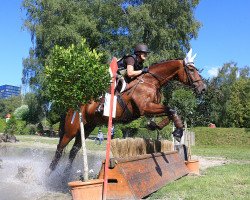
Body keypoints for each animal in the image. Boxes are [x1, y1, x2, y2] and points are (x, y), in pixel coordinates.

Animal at [46, 49, 206, 174]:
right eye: (191, 70)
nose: (203, 88)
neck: (151, 81)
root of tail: (73, 102)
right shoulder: (145, 107)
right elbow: (171, 109)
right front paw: (178, 132)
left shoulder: (149, 109)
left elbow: (171, 111)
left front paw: (157, 126)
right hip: (71, 129)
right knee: (60, 149)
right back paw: (50, 173)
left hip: (87, 127)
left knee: (74, 150)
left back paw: (65, 175)